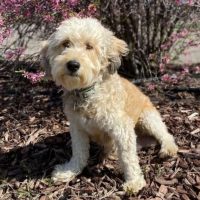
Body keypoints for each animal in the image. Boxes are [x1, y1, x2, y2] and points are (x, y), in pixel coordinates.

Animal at [40, 17, 178, 194]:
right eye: (65, 43)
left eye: (89, 46)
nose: (72, 64)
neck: (88, 93)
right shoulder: (77, 128)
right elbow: (79, 152)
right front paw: (69, 171)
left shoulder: (122, 128)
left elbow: (128, 157)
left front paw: (134, 182)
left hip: (148, 118)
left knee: (165, 134)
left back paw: (168, 148)